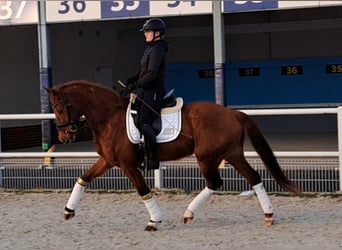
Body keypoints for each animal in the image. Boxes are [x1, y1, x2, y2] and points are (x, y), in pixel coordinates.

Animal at [46, 79, 300, 230]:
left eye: (60, 108)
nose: (64, 137)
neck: (109, 117)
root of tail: (232, 113)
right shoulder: (108, 161)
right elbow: (83, 178)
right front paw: (68, 211)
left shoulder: (128, 165)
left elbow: (143, 191)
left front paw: (154, 220)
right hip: (232, 154)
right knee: (252, 177)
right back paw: (268, 215)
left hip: (207, 157)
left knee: (215, 182)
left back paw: (189, 213)